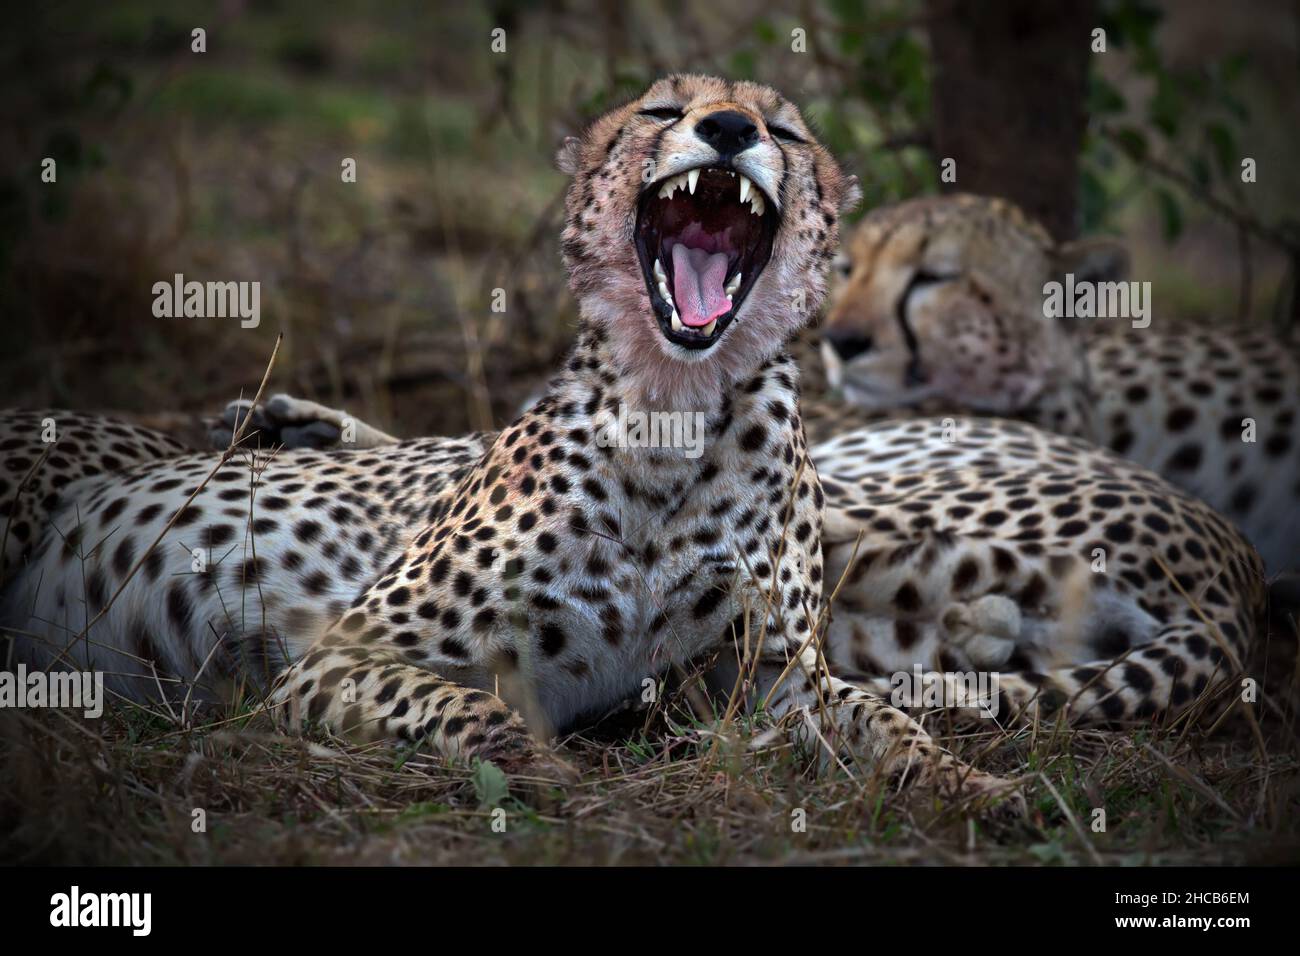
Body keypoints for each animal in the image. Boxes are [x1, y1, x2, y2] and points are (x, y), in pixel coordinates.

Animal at [3, 75, 1033, 812]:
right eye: (664, 109)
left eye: (783, 131)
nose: (730, 130)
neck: (671, 407)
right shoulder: (340, 654)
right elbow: (463, 701)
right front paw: (537, 772)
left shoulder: (771, 679)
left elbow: (886, 721)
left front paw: (968, 784)